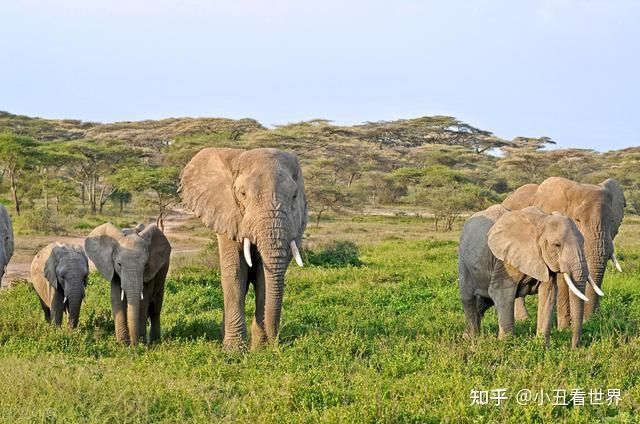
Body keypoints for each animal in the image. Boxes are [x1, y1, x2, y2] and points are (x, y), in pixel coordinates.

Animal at [179, 147, 308, 350]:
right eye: (242, 194)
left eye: (294, 196)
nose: (276, 344)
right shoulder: (227, 215)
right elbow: (235, 275)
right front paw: (234, 351)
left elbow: (264, 279)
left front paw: (259, 349)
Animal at [458, 205, 604, 348]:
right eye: (557, 245)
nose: (574, 348)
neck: (542, 221)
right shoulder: (505, 261)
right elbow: (502, 293)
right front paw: (506, 345)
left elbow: (548, 294)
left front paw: (542, 347)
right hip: (463, 259)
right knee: (468, 297)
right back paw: (470, 338)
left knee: (484, 301)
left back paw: (469, 335)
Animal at [502, 177, 624, 322]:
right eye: (577, 220)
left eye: (612, 221)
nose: (590, 320)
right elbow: (562, 280)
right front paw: (564, 326)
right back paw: (524, 319)